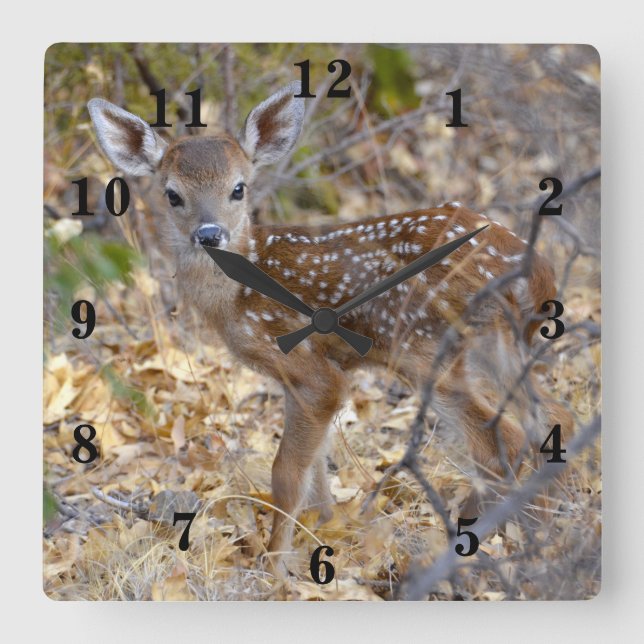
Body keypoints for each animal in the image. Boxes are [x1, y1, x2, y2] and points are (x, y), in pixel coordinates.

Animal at [88, 81, 573, 574]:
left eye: (238, 188)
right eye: (172, 194)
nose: (209, 234)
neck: (237, 296)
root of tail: (533, 268)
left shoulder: (313, 373)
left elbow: (285, 473)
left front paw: (275, 567)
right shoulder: (301, 379)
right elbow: (317, 468)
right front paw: (324, 531)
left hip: (425, 346)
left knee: (501, 440)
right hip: (499, 345)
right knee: (553, 416)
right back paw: (547, 520)